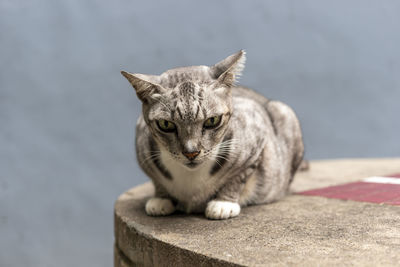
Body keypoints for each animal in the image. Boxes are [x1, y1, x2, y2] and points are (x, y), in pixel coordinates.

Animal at [120, 50, 304, 220]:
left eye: (212, 120)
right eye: (166, 124)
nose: (191, 153)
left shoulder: (256, 139)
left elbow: (239, 176)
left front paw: (223, 204)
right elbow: (157, 181)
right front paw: (160, 199)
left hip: (285, 113)